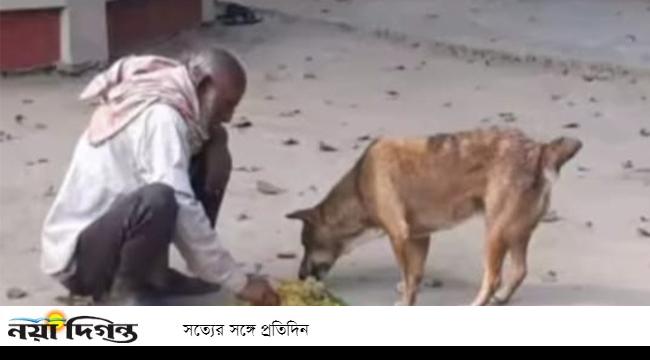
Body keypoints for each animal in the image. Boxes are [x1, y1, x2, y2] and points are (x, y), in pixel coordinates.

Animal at [286, 128, 580, 306]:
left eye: (306, 244)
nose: (299, 276)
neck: (359, 186)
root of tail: (540, 150)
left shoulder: (398, 236)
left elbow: (407, 275)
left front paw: (405, 300)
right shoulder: (419, 238)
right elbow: (414, 274)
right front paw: (409, 293)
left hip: (495, 231)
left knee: (494, 277)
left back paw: (478, 303)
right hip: (517, 231)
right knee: (519, 270)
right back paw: (502, 298)